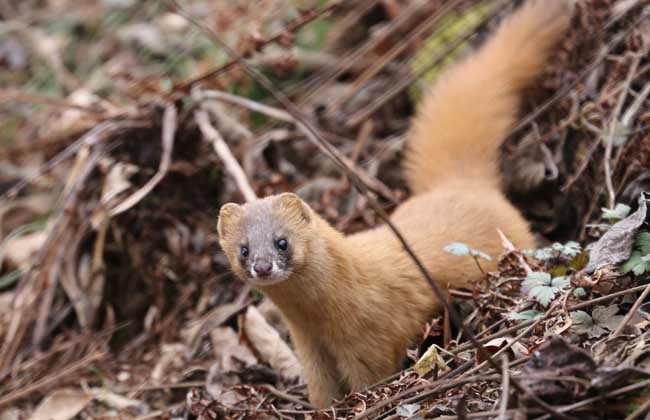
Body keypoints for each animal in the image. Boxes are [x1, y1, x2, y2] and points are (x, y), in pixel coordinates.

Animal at [216, 0, 568, 406]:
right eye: (243, 249)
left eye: (282, 241)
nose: (261, 266)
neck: (320, 322)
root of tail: (460, 182)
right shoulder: (311, 352)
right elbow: (322, 392)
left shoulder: (370, 344)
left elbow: (370, 380)